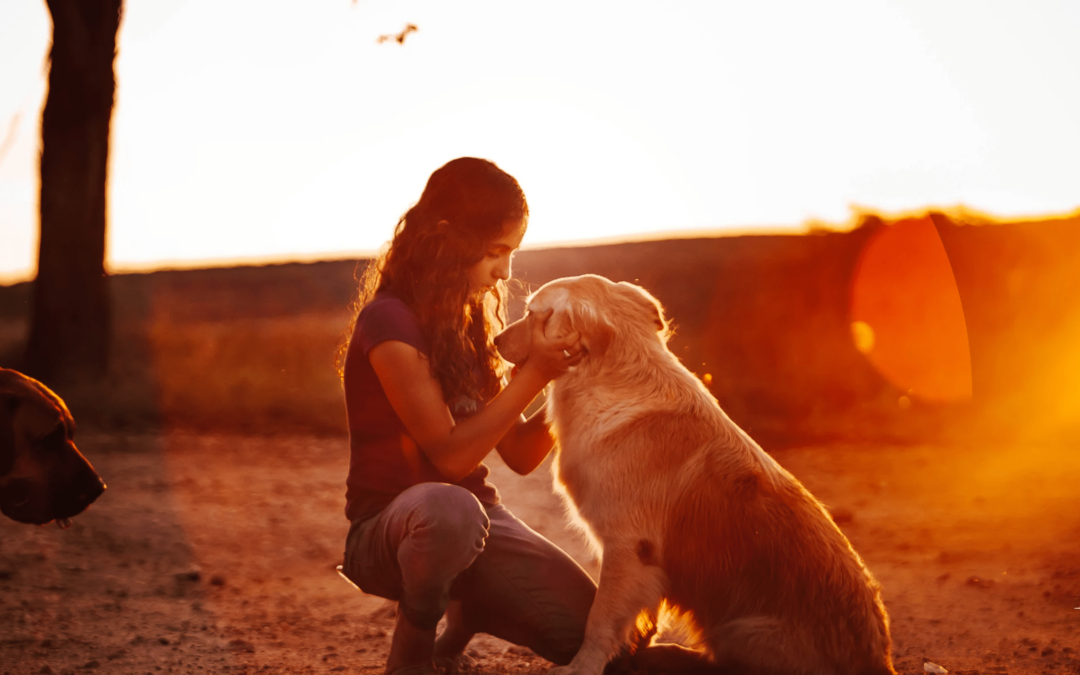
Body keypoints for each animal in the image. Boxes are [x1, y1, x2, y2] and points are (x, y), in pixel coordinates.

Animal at [494, 274, 889, 673]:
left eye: (531, 313)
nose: (495, 341)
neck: (611, 379)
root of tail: (879, 661)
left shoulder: (628, 546)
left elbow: (599, 620)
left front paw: (583, 666)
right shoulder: (645, 561)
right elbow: (642, 620)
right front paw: (631, 656)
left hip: (744, 630)